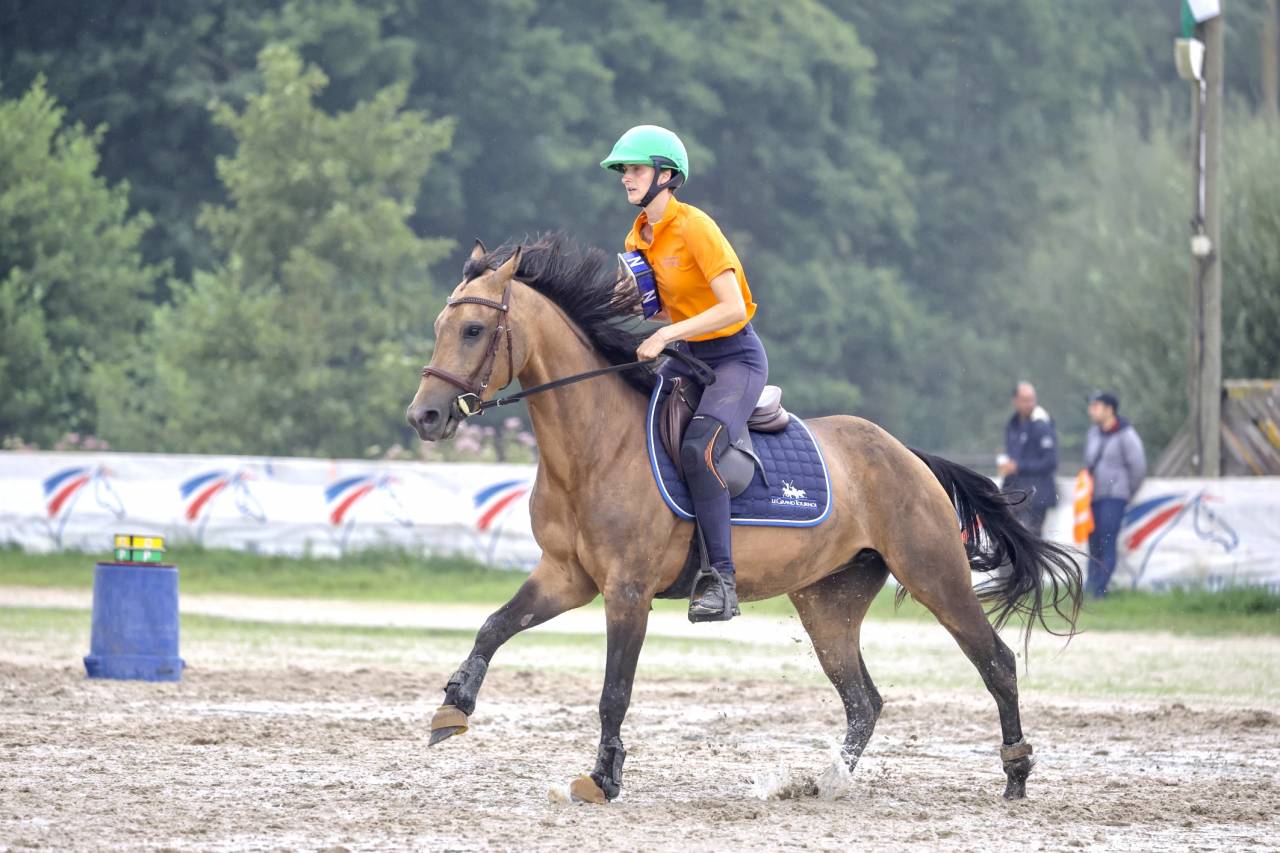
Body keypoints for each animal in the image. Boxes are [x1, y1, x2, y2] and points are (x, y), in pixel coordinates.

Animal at [405, 235, 1082, 804]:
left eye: (473, 329)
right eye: (440, 326)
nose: (424, 417)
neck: (592, 445)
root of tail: (906, 454)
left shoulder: (627, 591)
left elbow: (613, 692)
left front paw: (603, 777)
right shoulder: (566, 577)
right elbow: (494, 626)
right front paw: (453, 708)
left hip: (934, 574)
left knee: (995, 662)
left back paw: (1016, 773)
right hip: (828, 603)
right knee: (864, 700)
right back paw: (827, 782)